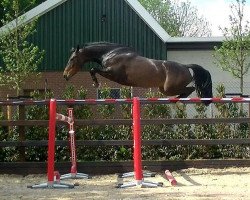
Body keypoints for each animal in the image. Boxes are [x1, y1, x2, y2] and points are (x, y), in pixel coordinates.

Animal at [63, 42, 213, 104]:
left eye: (72, 59)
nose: (65, 76)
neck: (111, 54)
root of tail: (185, 67)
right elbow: (93, 69)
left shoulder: (113, 73)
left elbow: (93, 69)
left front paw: (95, 84)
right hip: (164, 89)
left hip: (169, 88)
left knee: (190, 89)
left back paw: (177, 101)